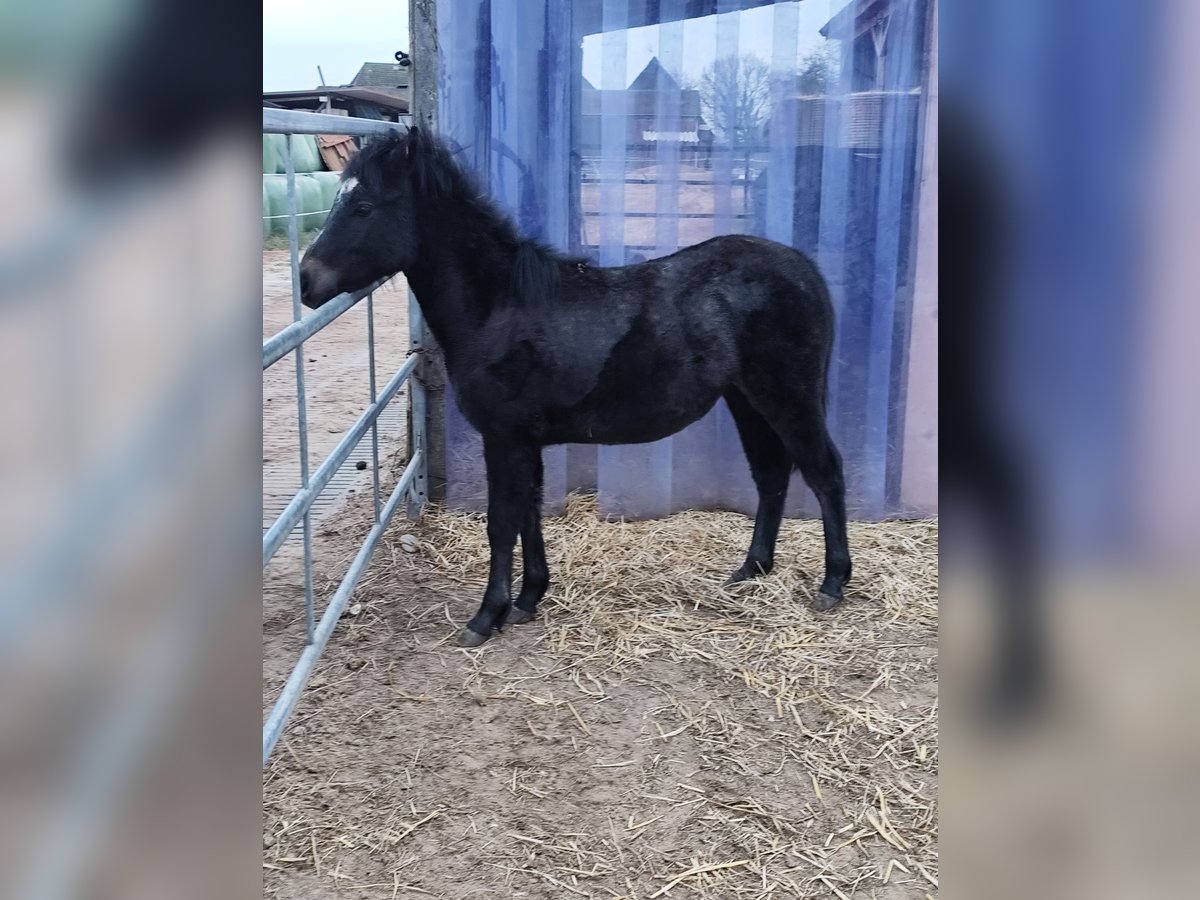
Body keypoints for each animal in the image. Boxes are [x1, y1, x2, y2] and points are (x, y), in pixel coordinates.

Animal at [300, 128, 854, 648]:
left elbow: (502, 521)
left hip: (787, 397)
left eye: (364, 206)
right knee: (771, 475)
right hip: (747, 401)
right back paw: (751, 569)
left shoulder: (503, 437)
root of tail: (803, 269)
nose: (306, 281)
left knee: (824, 472)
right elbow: (528, 512)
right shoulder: (523, 441)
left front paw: (484, 618)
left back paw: (832, 584)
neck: (499, 308)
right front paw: (526, 600)